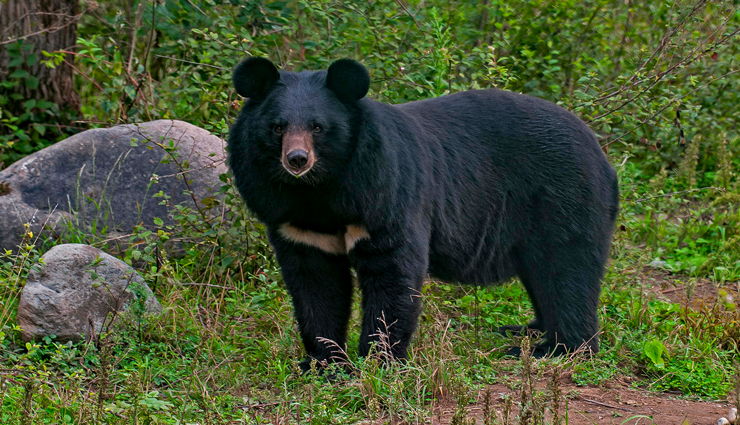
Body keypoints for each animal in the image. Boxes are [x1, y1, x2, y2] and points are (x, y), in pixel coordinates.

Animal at [228, 57, 619, 370]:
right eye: (277, 127)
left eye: (318, 127)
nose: (297, 160)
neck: (318, 191)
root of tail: (602, 154)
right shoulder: (294, 221)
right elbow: (315, 284)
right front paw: (324, 362)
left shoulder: (383, 193)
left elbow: (392, 272)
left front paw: (379, 361)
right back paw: (526, 330)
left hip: (563, 198)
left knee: (566, 271)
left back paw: (556, 348)